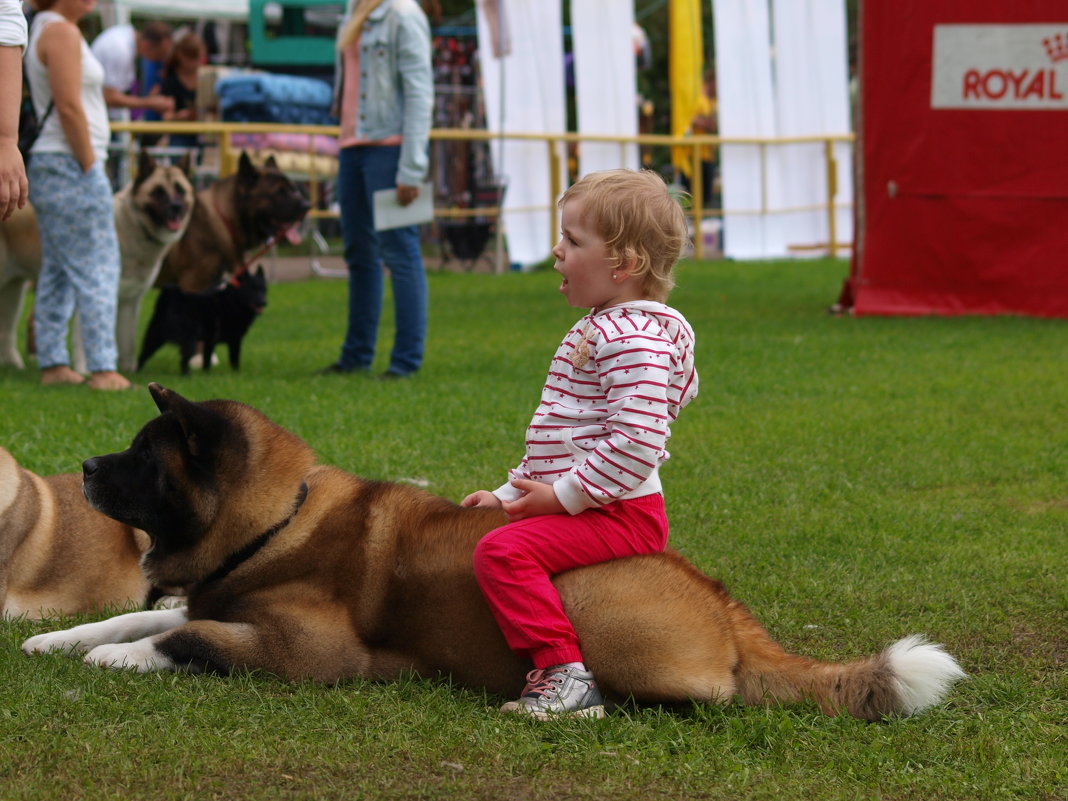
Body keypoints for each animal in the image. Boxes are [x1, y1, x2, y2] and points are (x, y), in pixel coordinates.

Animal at [25, 386, 965, 726]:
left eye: (145, 455)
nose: (84, 467)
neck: (273, 516)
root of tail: (727, 608)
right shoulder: (207, 593)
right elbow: (136, 613)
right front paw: (53, 639)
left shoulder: (308, 654)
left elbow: (181, 636)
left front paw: (117, 657)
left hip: (593, 607)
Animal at [137, 264, 267, 375]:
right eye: (251, 289)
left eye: (263, 289)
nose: (264, 302)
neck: (234, 300)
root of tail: (170, 299)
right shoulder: (235, 340)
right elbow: (234, 359)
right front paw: (237, 373)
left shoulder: (210, 341)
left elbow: (207, 360)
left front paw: (206, 374)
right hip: (190, 340)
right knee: (183, 360)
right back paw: (187, 376)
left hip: (154, 336)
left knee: (142, 355)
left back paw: (138, 371)